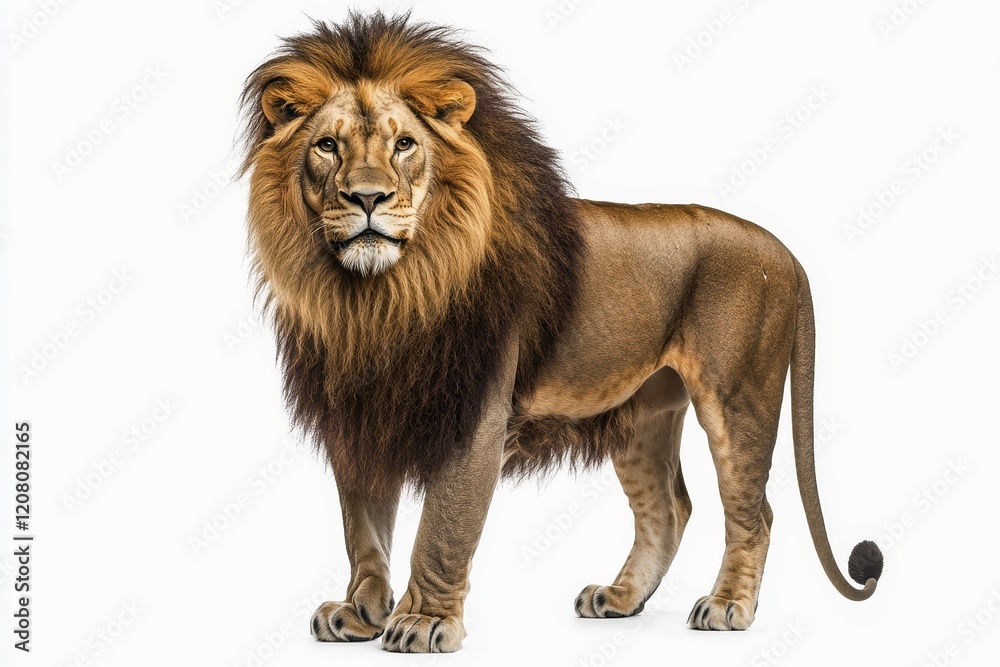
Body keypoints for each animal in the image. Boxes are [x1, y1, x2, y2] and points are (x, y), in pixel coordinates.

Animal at [240, 12, 883, 653]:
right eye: (327, 145)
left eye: (405, 144)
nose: (367, 197)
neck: (376, 297)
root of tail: (784, 252)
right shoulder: (358, 414)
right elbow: (364, 528)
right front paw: (360, 611)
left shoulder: (477, 412)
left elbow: (443, 527)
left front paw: (424, 621)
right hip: (645, 411)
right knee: (669, 508)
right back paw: (620, 598)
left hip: (739, 396)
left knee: (754, 511)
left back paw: (728, 606)